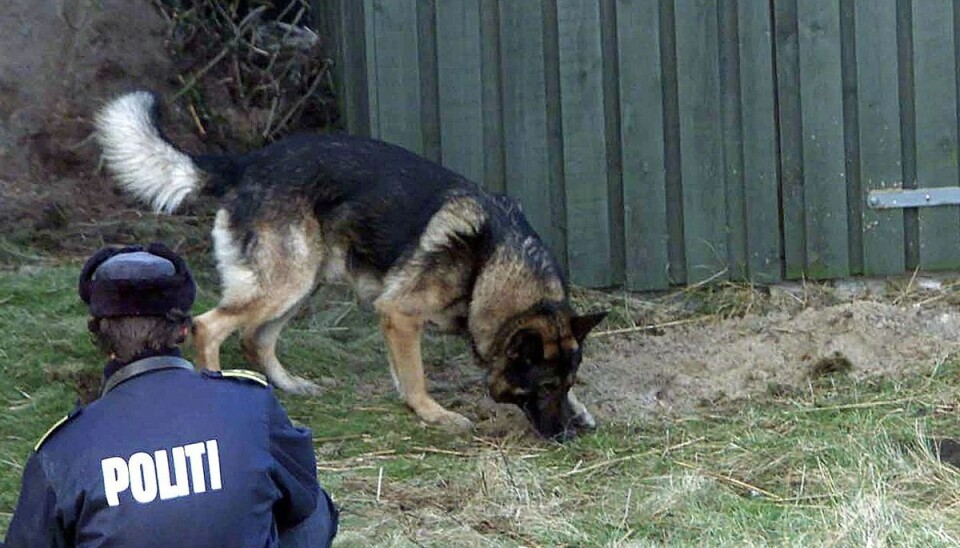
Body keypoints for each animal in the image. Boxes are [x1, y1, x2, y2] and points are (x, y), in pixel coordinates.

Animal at [97, 92, 608, 438]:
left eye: (566, 383)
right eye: (542, 387)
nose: (567, 435)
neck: (489, 266)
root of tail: (248, 163)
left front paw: (582, 408)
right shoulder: (400, 314)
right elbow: (415, 377)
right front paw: (433, 413)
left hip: (304, 282)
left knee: (255, 337)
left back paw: (291, 385)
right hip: (286, 283)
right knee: (209, 327)